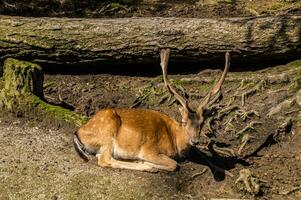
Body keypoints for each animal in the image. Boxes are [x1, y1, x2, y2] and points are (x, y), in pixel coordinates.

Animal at [73, 49, 230, 173]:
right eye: (184, 121)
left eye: (202, 122)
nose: (195, 140)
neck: (175, 141)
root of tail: (78, 132)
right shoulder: (150, 150)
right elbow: (173, 164)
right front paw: (147, 162)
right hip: (107, 130)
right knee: (104, 159)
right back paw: (144, 165)